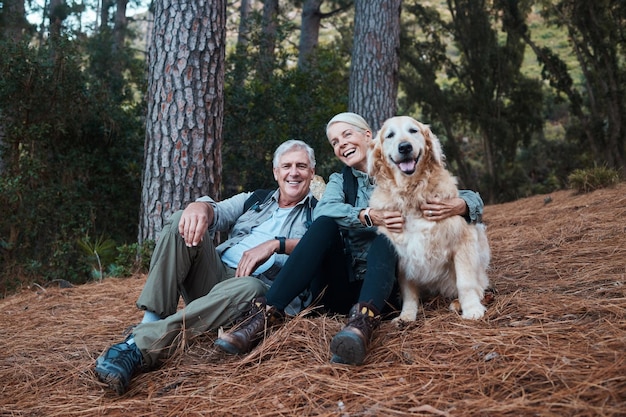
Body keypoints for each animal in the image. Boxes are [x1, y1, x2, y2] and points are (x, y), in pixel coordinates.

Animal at [368, 115, 490, 324]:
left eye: (413, 130)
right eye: (390, 135)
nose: (405, 147)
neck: (411, 193)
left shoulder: (463, 240)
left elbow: (465, 282)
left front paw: (472, 309)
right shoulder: (403, 253)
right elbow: (408, 292)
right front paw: (407, 315)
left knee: (478, 284)